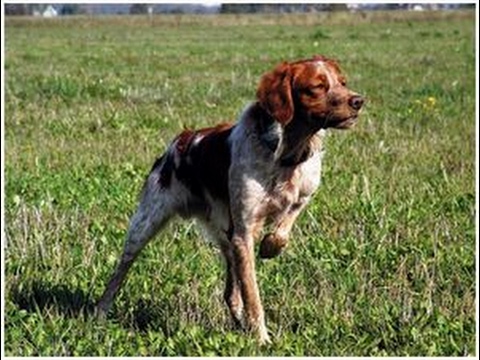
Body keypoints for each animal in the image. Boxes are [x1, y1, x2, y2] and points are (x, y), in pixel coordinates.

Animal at [99, 55, 366, 344]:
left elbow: (283, 229)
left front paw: (270, 247)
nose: (358, 101)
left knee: (230, 293)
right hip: (145, 224)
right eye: (317, 87)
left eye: (343, 83)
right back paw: (99, 313)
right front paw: (262, 339)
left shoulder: (301, 196)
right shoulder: (244, 233)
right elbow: (253, 297)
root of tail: (179, 141)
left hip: (225, 236)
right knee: (119, 272)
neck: (285, 152)